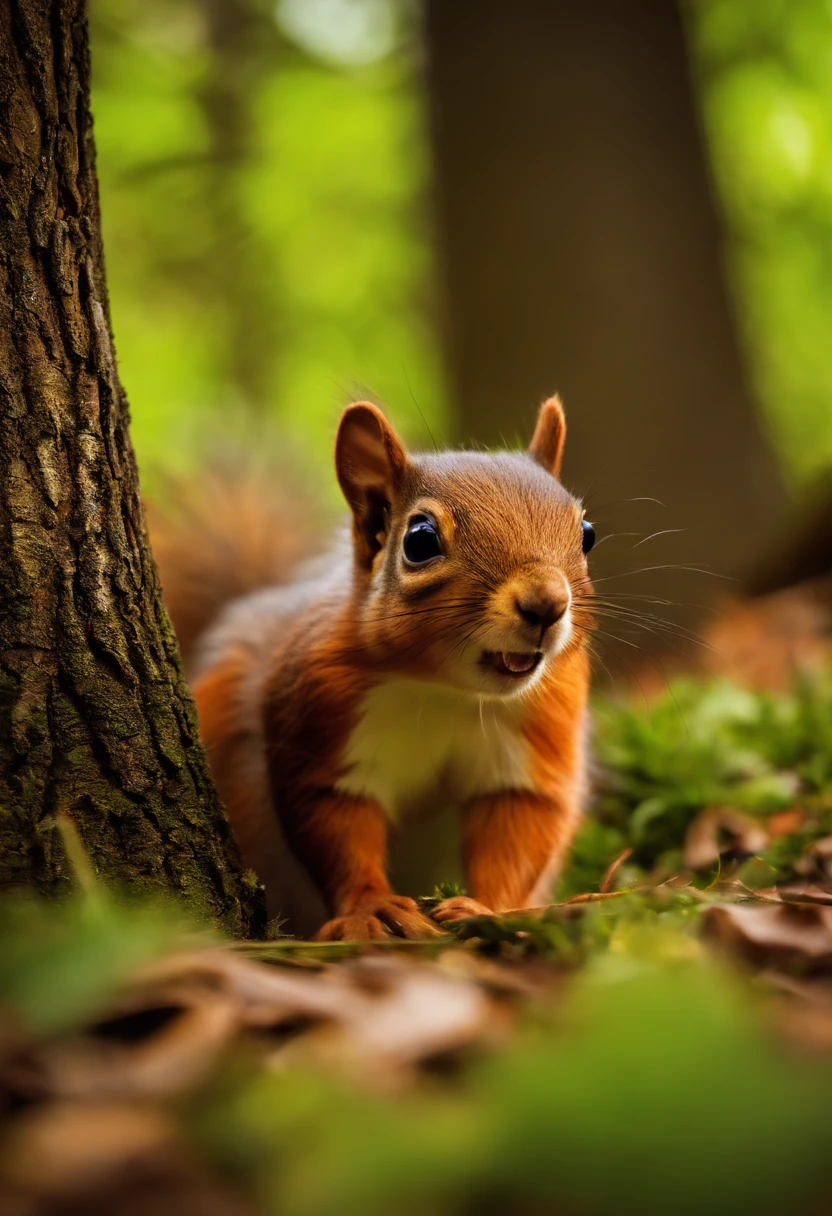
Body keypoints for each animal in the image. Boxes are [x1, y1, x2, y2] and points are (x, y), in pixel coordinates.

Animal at [147, 398, 591, 938]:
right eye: (420, 541)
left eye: (586, 534)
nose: (547, 604)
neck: (444, 689)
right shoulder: (318, 709)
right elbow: (334, 825)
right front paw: (372, 908)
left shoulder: (542, 729)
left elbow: (520, 826)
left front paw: (487, 909)